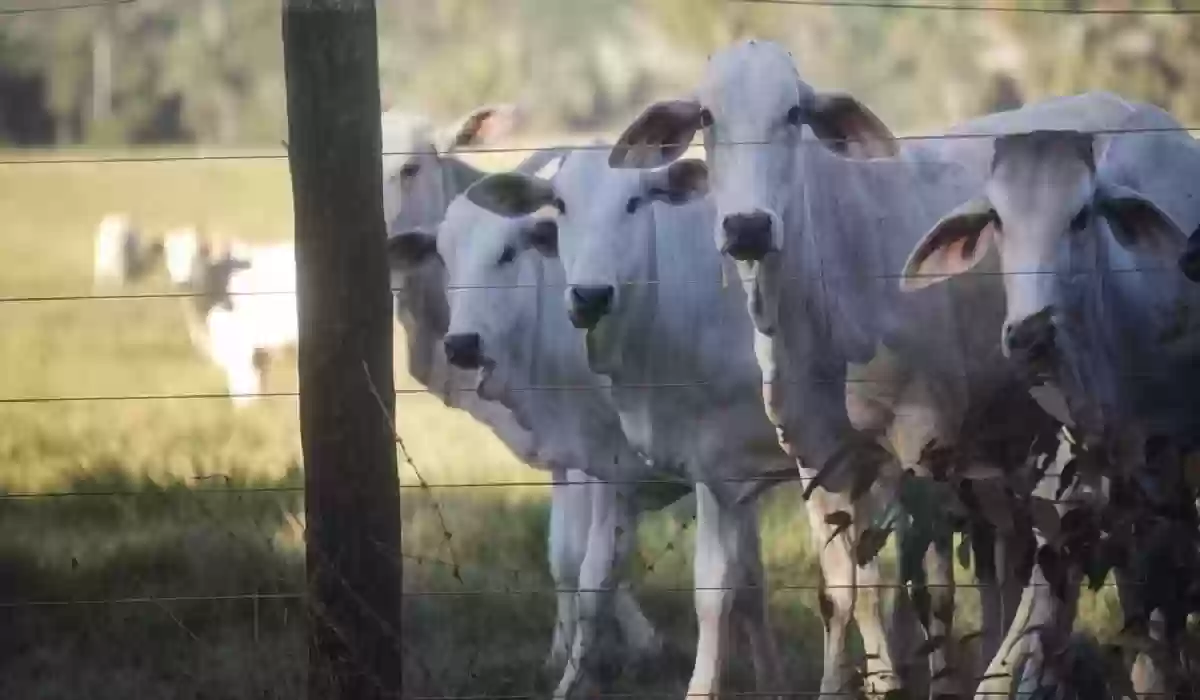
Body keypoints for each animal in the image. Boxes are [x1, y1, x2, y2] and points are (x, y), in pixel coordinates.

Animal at [379, 108, 676, 691]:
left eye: (410, 168)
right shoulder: (559, 446)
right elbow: (564, 553)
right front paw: (564, 654)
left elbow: (589, 555)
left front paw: (624, 648)